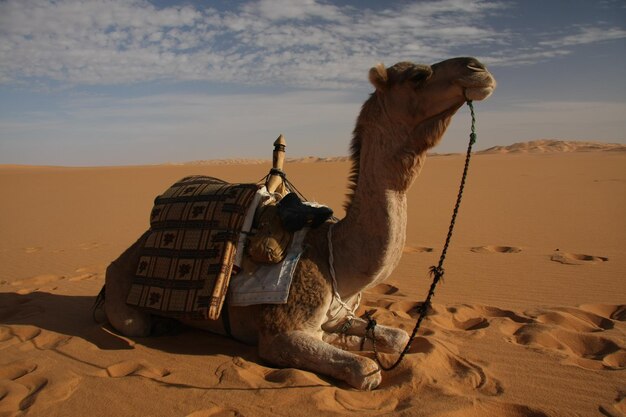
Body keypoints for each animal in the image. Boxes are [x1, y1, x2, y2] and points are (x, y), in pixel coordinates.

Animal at [101, 57, 492, 388]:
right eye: (417, 76)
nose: (478, 68)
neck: (336, 255)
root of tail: (125, 254)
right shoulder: (281, 333)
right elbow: (366, 369)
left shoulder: (338, 312)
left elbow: (397, 337)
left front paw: (353, 337)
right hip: (125, 299)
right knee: (135, 322)